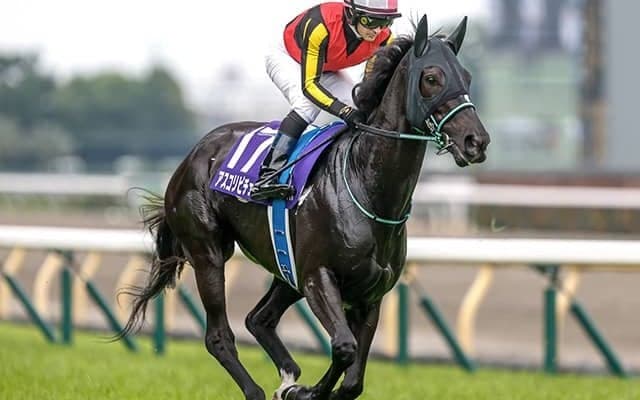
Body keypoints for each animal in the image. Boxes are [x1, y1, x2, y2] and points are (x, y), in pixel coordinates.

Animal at [121, 15, 489, 400]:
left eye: (467, 77)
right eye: (432, 78)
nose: (476, 141)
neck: (366, 184)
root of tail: (193, 154)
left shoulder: (370, 295)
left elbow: (353, 381)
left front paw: (305, 389)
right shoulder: (318, 277)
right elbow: (344, 347)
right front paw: (308, 391)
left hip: (286, 269)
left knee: (258, 319)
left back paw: (288, 377)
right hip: (208, 253)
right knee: (219, 336)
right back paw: (259, 389)